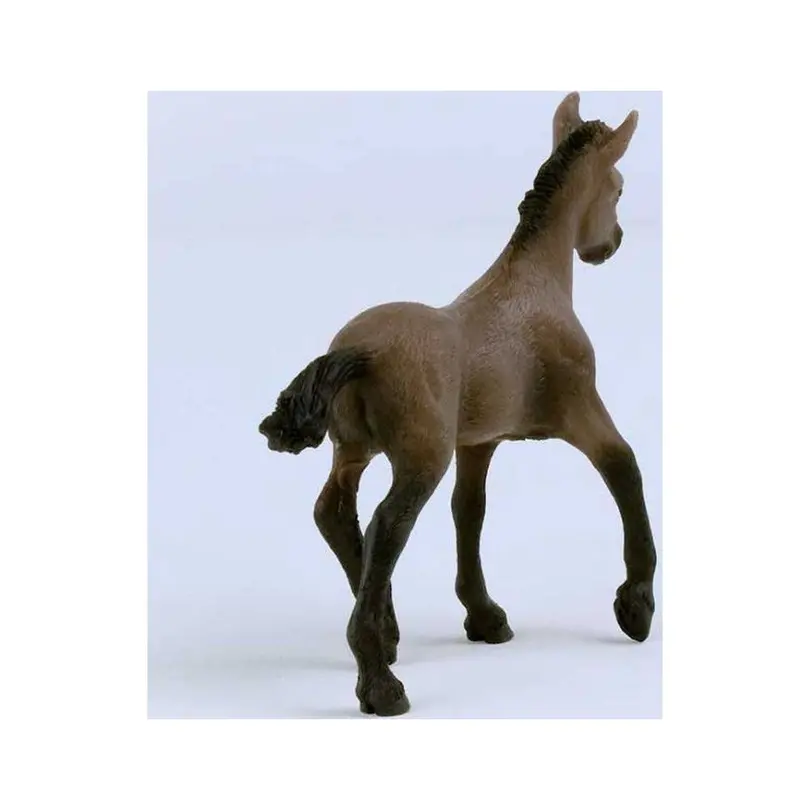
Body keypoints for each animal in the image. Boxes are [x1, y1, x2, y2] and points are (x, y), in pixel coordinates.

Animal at [259, 92, 657, 716]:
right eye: (617, 187)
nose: (607, 245)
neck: (534, 284)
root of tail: (358, 350)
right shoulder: (580, 410)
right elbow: (625, 468)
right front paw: (635, 605)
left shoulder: (479, 441)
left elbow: (469, 511)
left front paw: (485, 616)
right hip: (421, 456)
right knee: (387, 525)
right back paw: (380, 681)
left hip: (353, 450)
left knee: (335, 513)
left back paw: (387, 634)